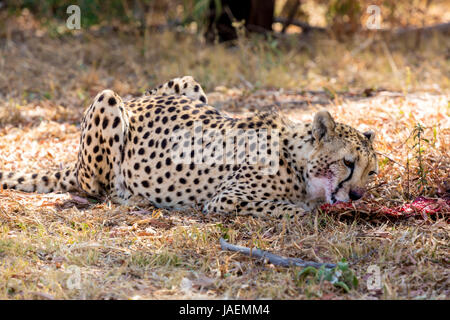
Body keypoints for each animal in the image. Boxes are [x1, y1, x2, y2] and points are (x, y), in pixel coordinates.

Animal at [0, 76, 380, 219]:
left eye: (371, 172)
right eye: (347, 163)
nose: (357, 195)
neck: (298, 160)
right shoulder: (226, 200)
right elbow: (297, 210)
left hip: (187, 83)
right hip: (107, 102)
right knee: (97, 188)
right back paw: (133, 197)